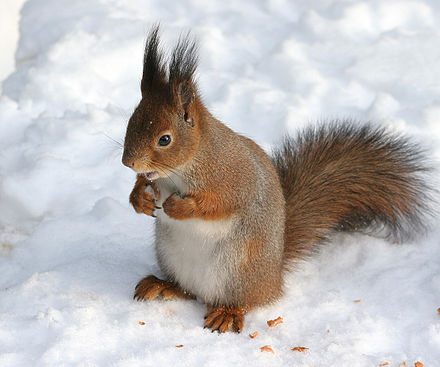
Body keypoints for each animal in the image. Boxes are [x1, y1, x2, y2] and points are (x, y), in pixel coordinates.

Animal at [121, 27, 434, 334]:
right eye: (131, 121)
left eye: (165, 139)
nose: (128, 162)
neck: (182, 168)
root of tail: (274, 278)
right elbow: (143, 186)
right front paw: (139, 198)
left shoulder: (233, 178)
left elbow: (218, 205)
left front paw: (178, 207)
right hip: (172, 257)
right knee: (187, 291)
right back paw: (162, 285)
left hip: (239, 270)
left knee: (245, 301)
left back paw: (228, 313)